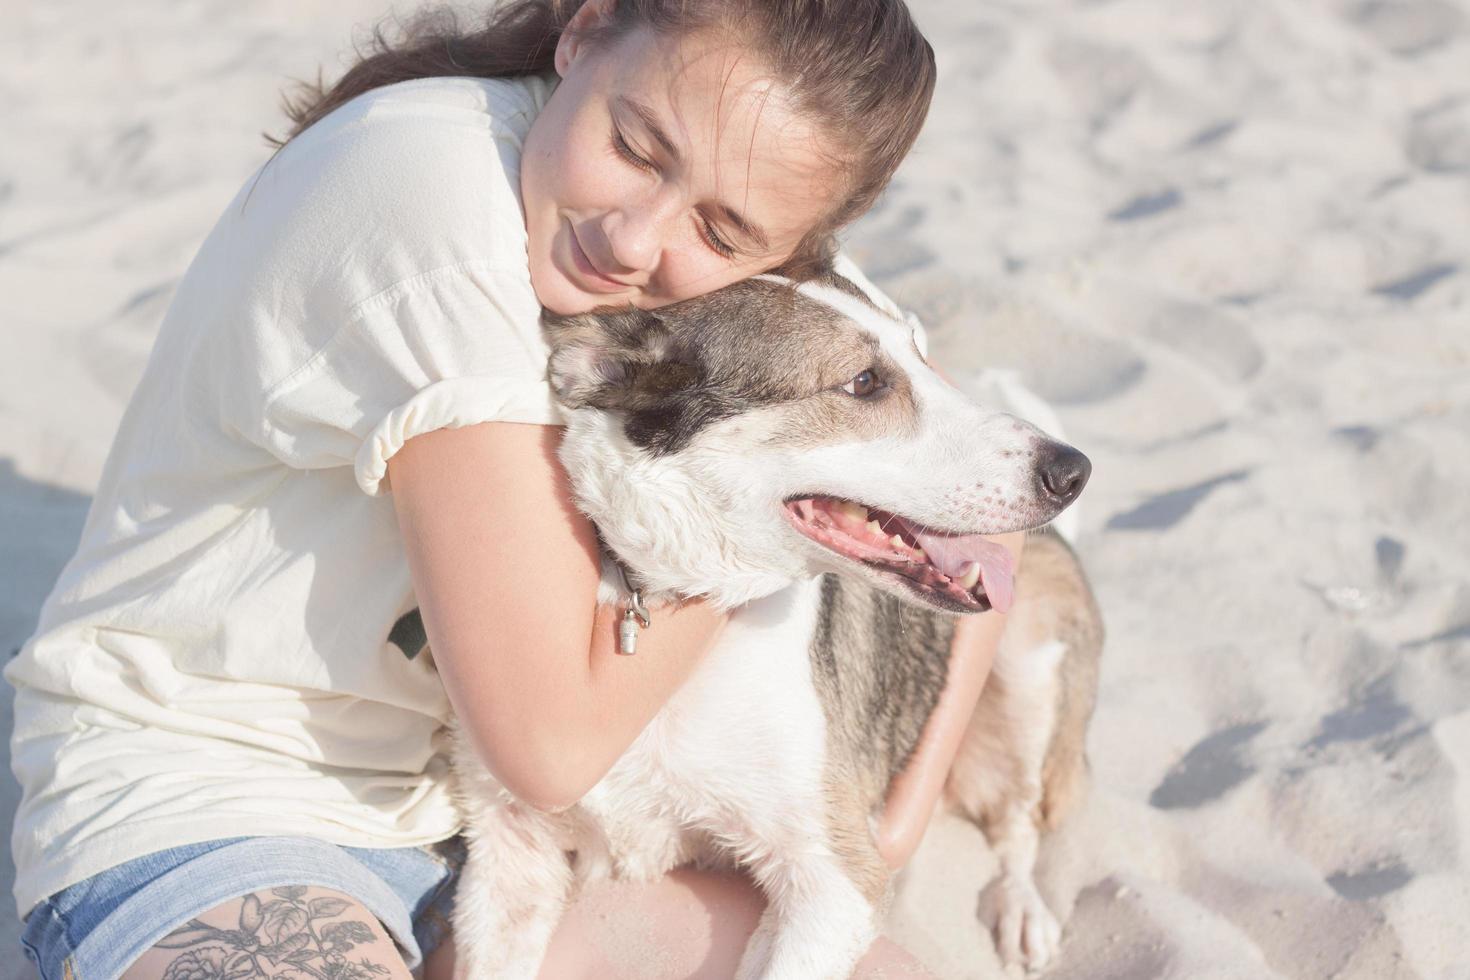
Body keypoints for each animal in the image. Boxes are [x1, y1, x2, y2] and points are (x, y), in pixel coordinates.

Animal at [446, 270, 1105, 980]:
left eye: (921, 351)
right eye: (864, 381)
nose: (1073, 471)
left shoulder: (836, 880)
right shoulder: (508, 854)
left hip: (1028, 663)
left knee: (1019, 820)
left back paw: (1022, 908)